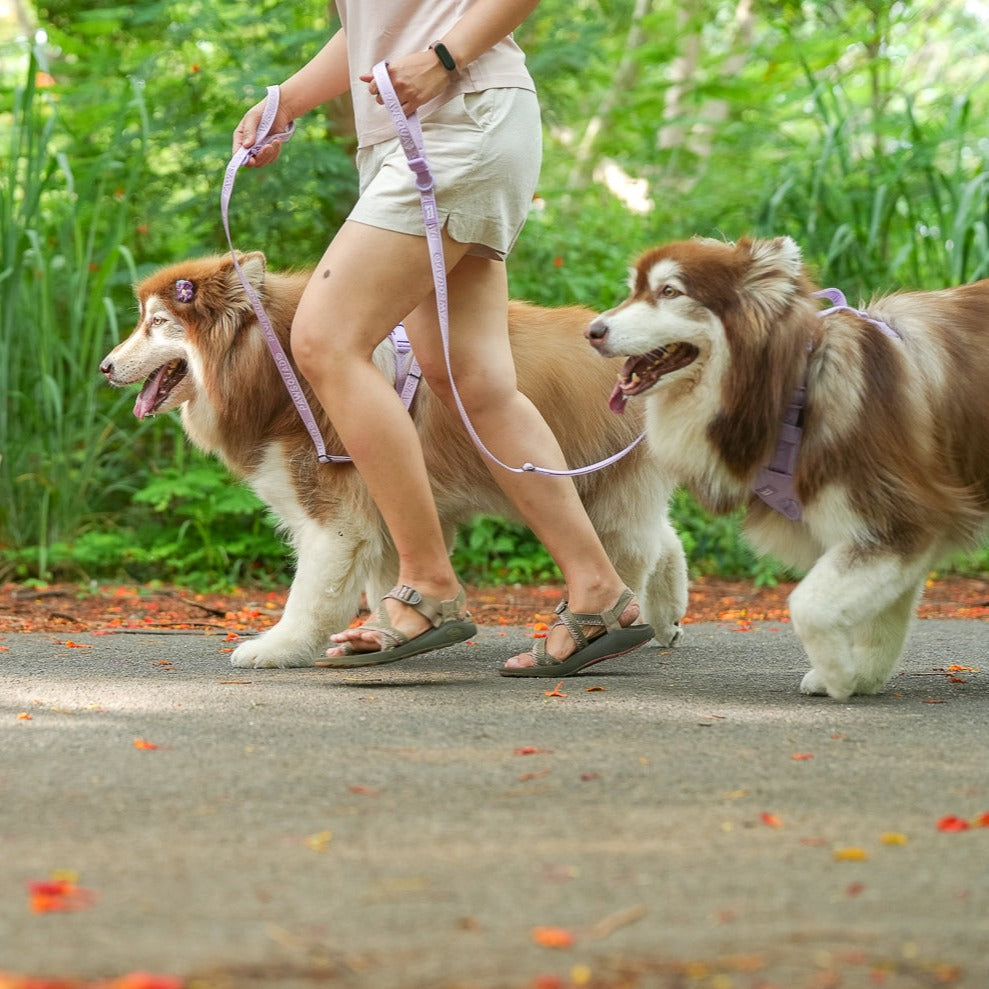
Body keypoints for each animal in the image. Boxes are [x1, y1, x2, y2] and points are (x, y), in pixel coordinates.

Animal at [100, 253, 688, 672]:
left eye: (157, 323)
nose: (104, 366)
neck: (275, 370)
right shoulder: (384, 508)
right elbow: (385, 582)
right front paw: (391, 634)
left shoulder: (336, 520)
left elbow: (311, 596)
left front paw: (277, 649)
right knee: (664, 538)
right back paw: (667, 619)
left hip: (596, 487)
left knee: (632, 551)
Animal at [588, 235, 988, 700]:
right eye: (632, 291)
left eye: (669, 291)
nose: (592, 331)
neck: (797, 390)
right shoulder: (879, 532)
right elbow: (882, 622)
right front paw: (863, 675)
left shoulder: (902, 518)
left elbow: (808, 605)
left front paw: (838, 674)